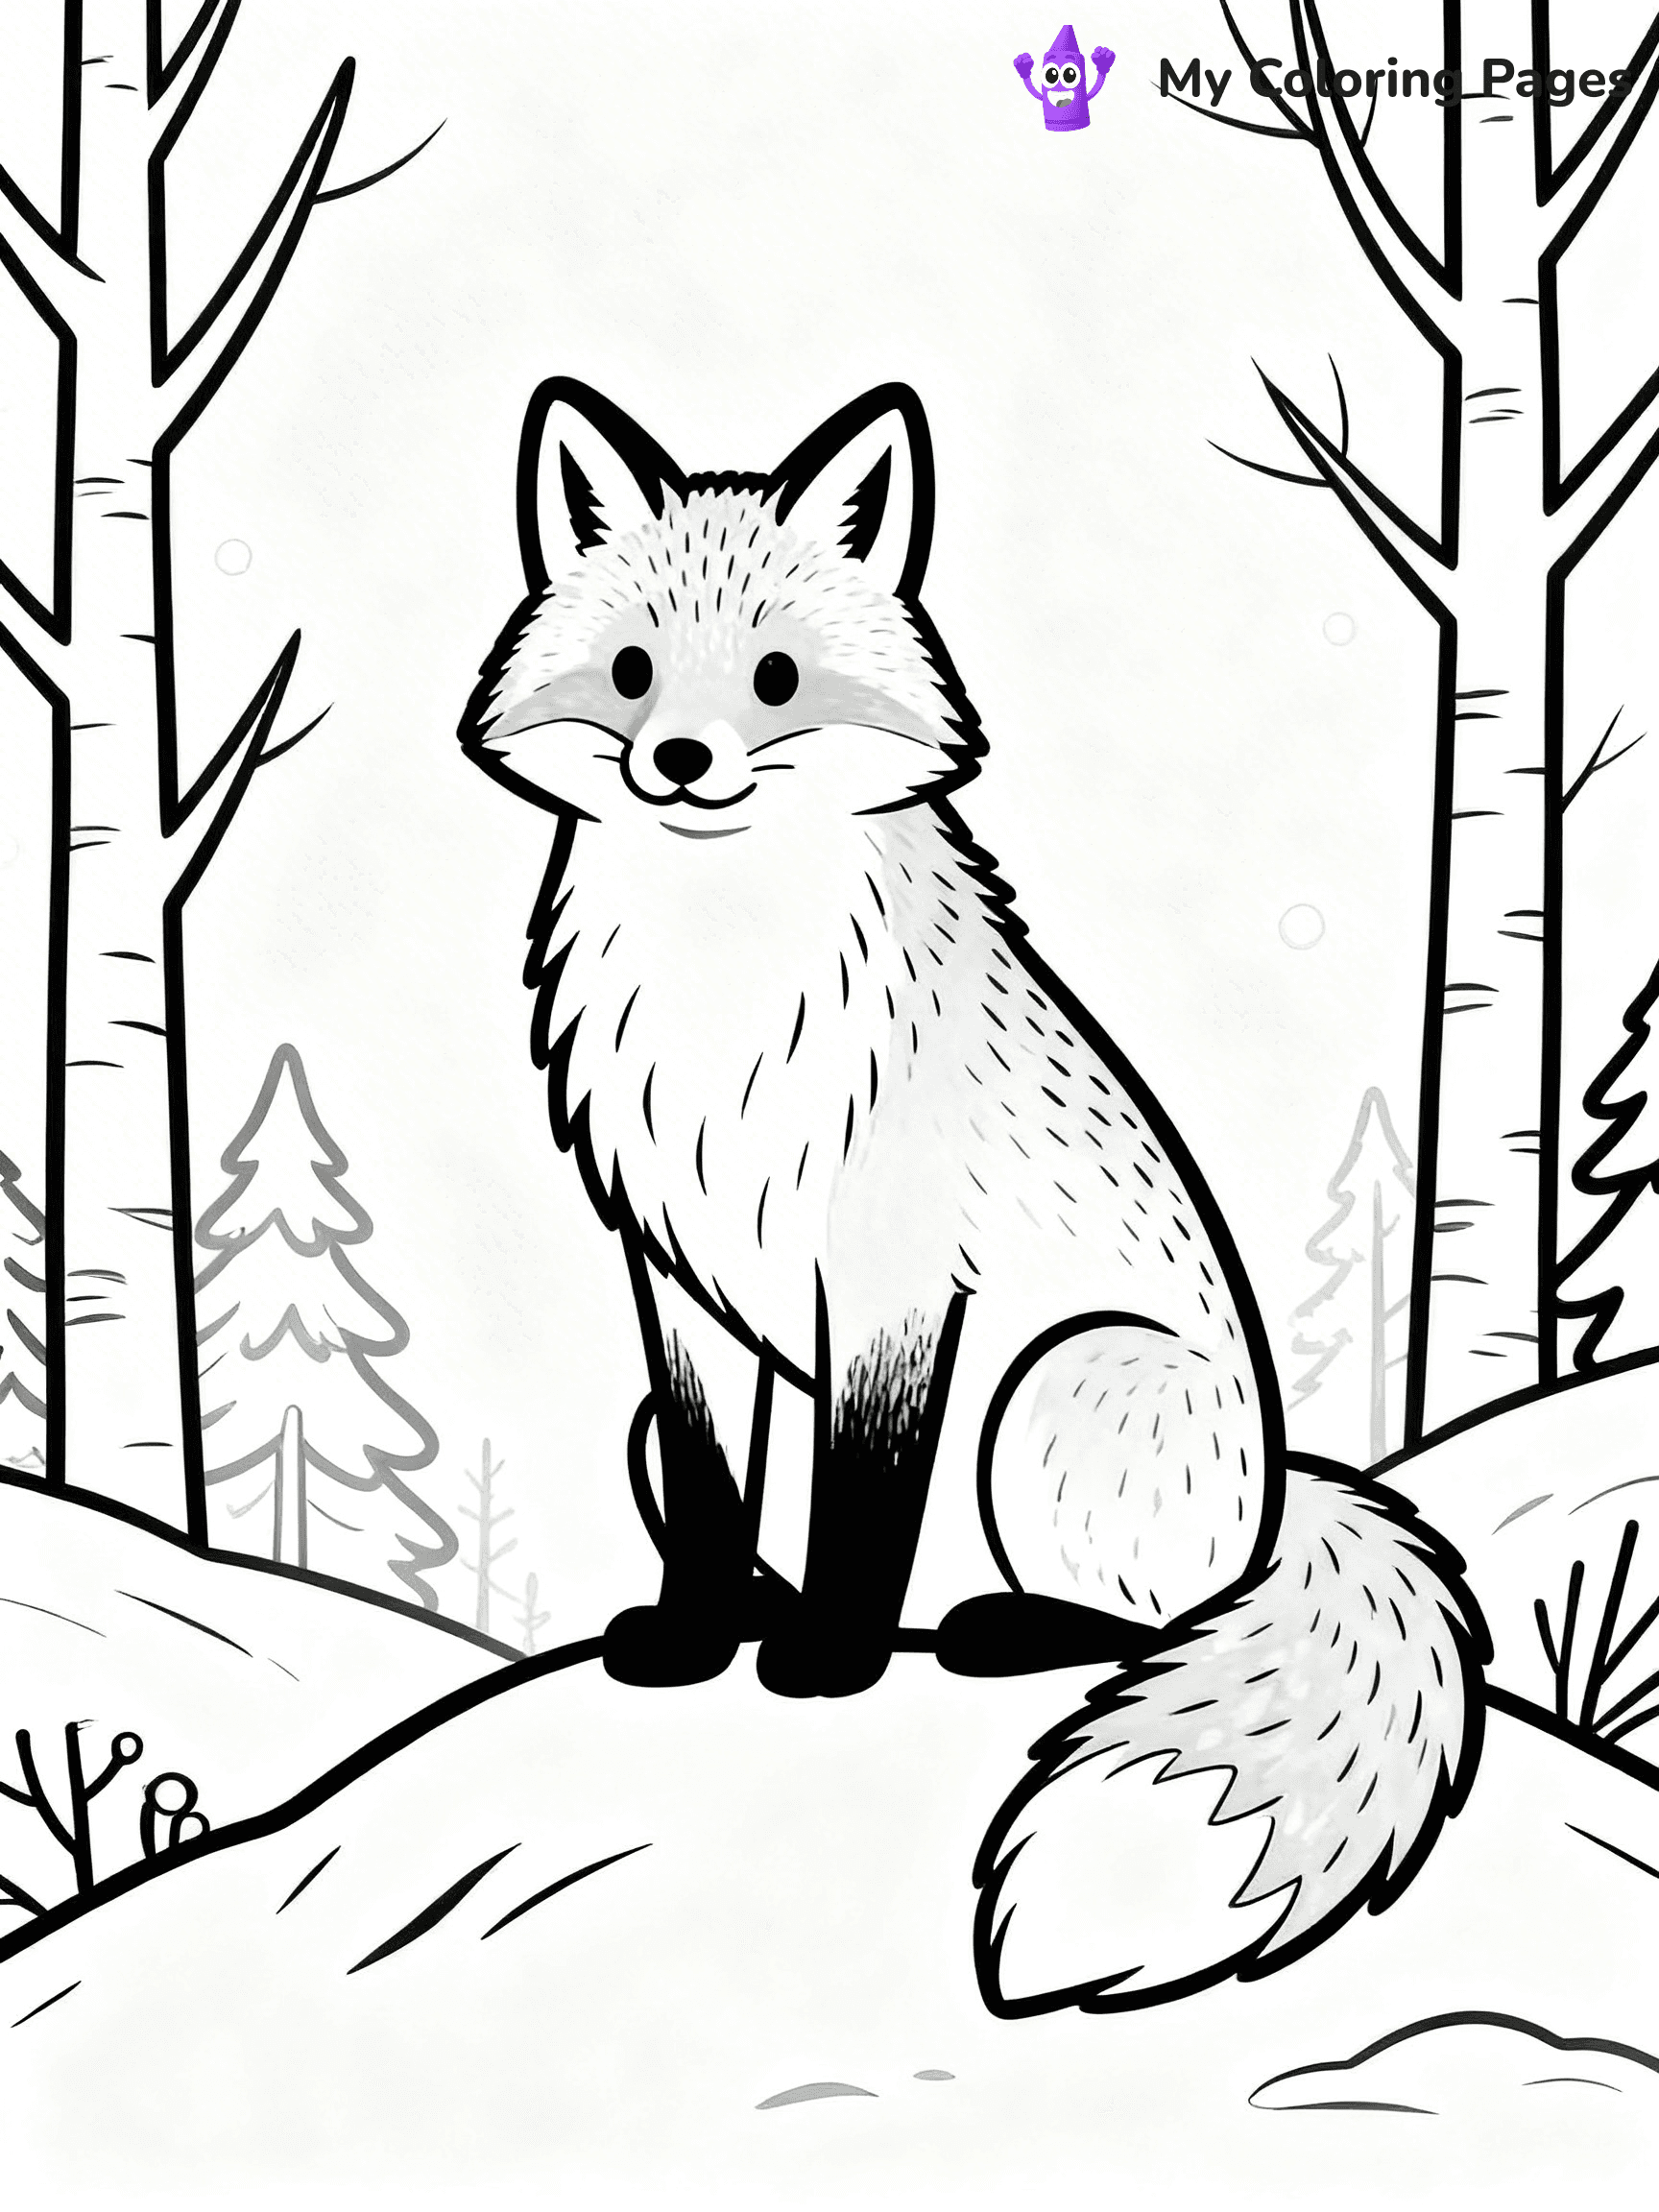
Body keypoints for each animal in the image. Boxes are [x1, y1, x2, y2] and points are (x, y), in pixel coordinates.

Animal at [459, 378, 1488, 2016]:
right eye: (631, 674)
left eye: (775, 679)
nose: (679, 759)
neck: (723, 978)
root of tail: (1288, 1492)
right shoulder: (679, 1281)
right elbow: (710, 1493)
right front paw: (697, 1636)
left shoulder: (887, 1284)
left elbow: (862, 1505)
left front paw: (827, 1658)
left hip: (1057, 1385)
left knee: (1155, 1614)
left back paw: (998, 1628)